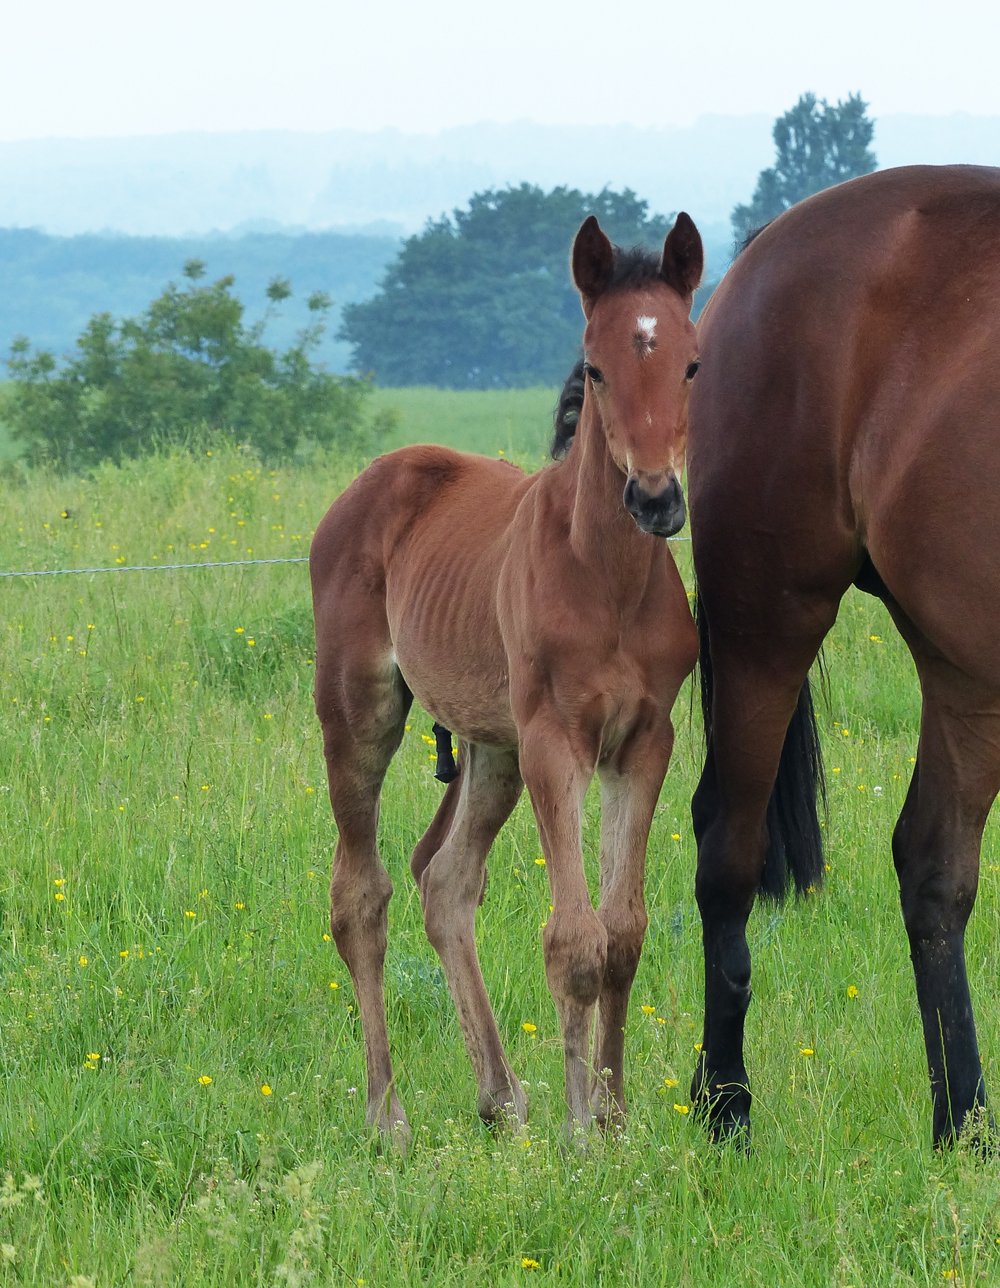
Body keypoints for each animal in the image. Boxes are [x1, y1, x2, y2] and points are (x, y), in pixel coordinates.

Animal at [310, 212, 703, 1144]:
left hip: (491, 748)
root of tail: (372, 479)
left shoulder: (645, 741)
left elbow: (623, 932)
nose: (656, 499)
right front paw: (580, 1134)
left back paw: (502, 1096)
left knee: (445, 881)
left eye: (691, 362)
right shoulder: (556, 742)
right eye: (595, 368)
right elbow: (573, 938)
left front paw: (614, 1117)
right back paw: (387, 1114)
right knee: (361, 895)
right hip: (363, 715)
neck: (605, 577)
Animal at [686, 164, 1000, 1147]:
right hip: (768, 618)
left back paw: (962, 1124)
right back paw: (724, 1105)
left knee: (932, 867)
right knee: (726, 847)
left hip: (963, 668)